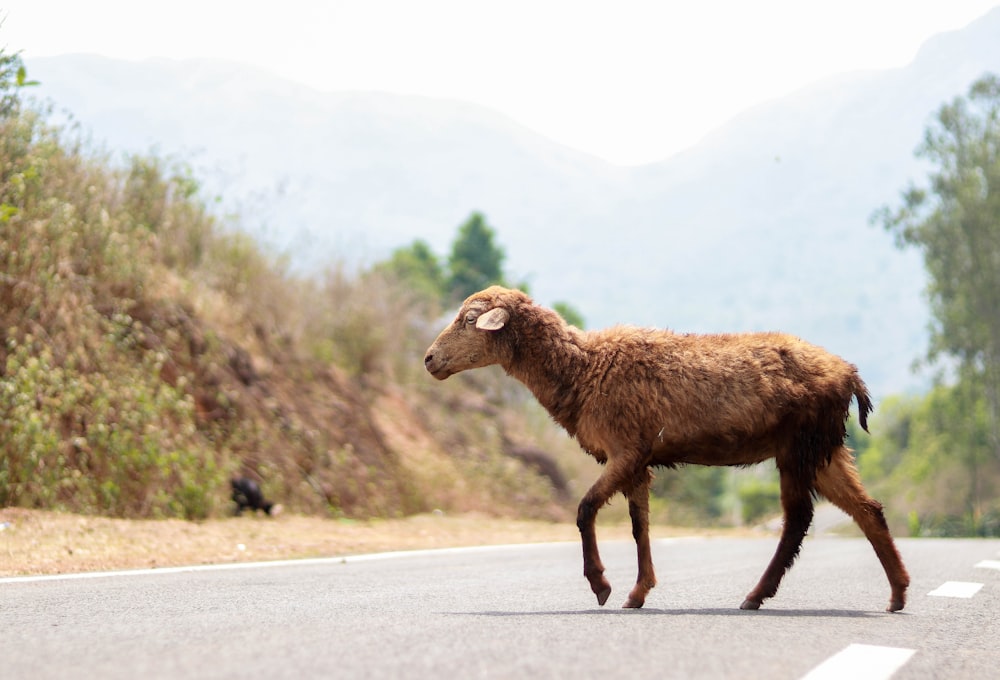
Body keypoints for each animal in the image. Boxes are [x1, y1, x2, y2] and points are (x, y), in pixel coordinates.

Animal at [426, 286, 912, 612]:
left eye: (469, 318)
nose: (430, 359)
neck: (580, 375)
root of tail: (851, 377)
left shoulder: (625, 447)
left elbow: (585, 509)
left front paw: (601, 585)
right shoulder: (639, 459)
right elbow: (640, 525)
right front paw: (638, 591)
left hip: (800, 444)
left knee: (798, 520)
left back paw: (755, 595)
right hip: (825, 447)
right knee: (868, 509)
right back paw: (898, 593)